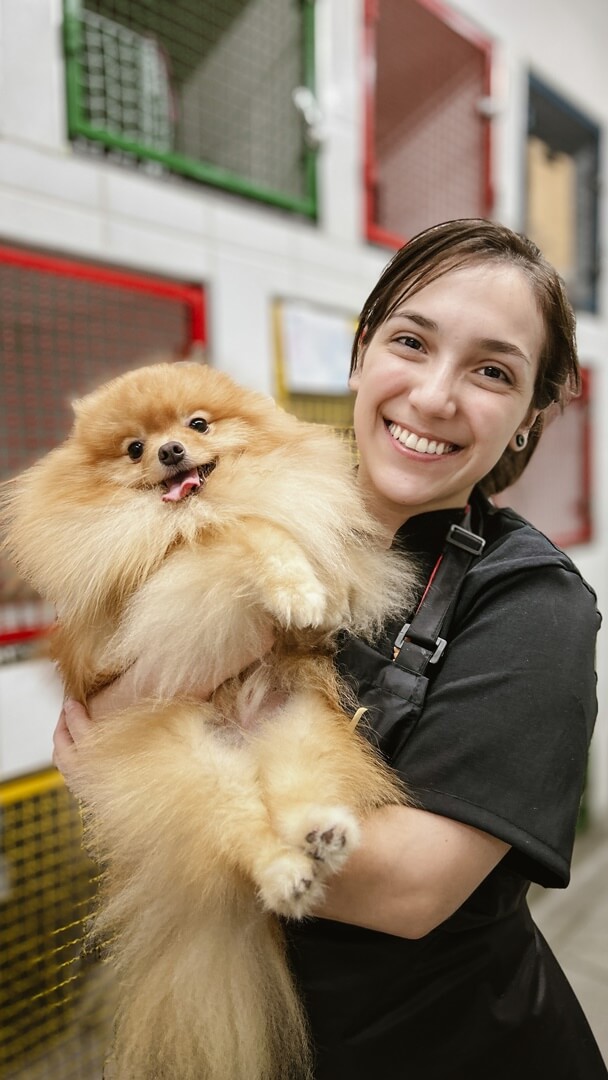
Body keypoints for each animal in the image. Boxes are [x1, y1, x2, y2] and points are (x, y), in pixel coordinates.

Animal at [0, 362, 416, 1080]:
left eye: (198, 425)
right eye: (134, 448)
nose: (170, 452)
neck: (195, 507)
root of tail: (243, 742)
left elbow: (294, 534)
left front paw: (325, 596)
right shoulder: (166, 569)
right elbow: (250, 534)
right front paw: (299, 593)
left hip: (301, 729)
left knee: (294, 799)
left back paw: (322, 834)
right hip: (194, 770)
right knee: (244, 834)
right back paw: (285, 872)